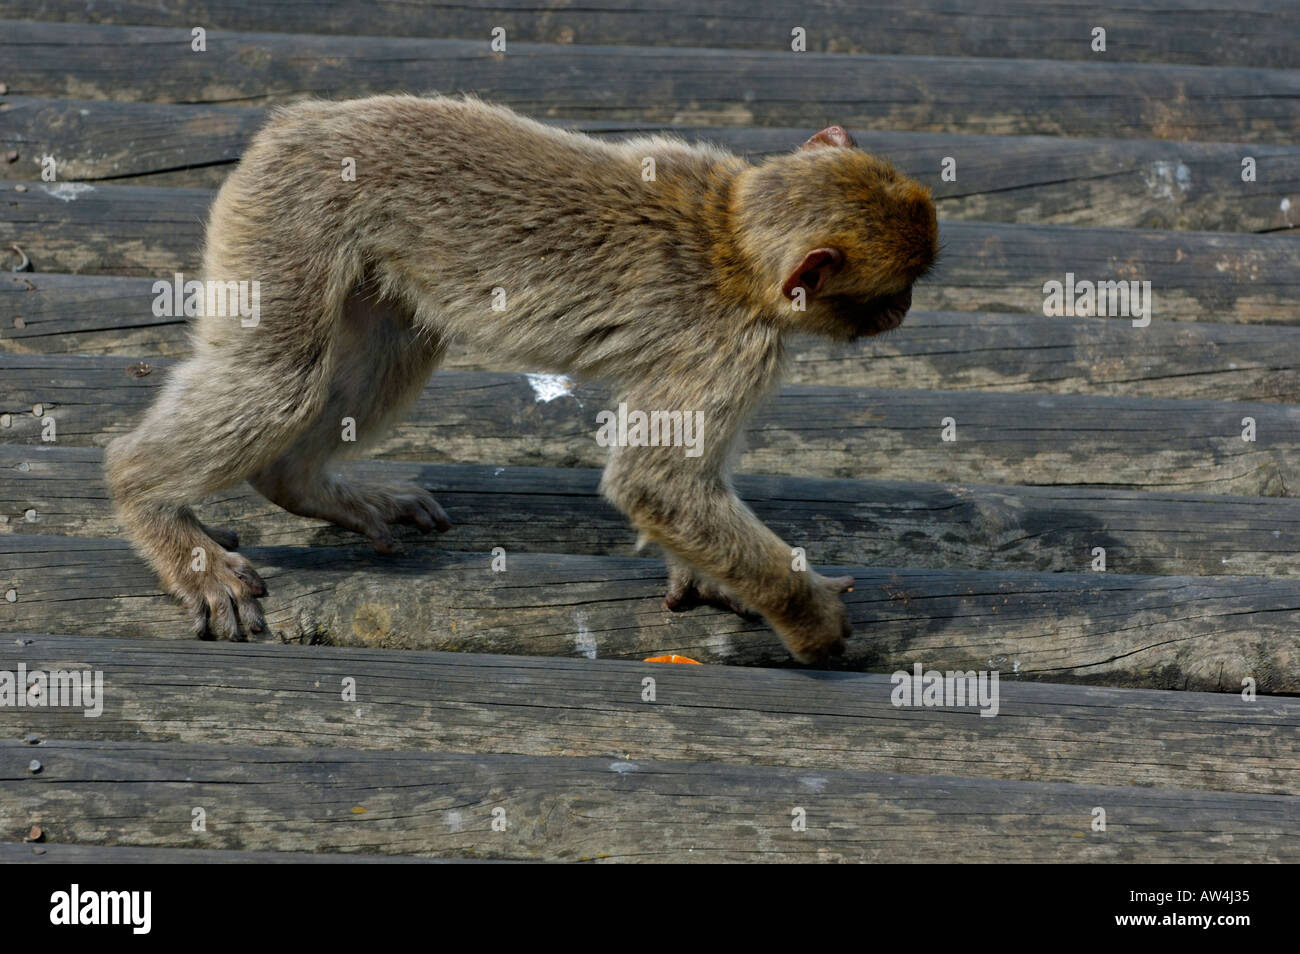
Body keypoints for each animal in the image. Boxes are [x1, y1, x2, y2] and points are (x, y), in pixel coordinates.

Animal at [101, 97, 935, 665]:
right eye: (894, 293)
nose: (905, 313)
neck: (730, 231)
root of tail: (297, 123)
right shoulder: (733, 344)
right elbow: (658, 482)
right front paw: (810, 622)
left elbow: (673, 483)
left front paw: (711, 577)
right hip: (289, 219)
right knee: (277, 377)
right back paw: (150, 503)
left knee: (397, 338)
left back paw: (299, 481)